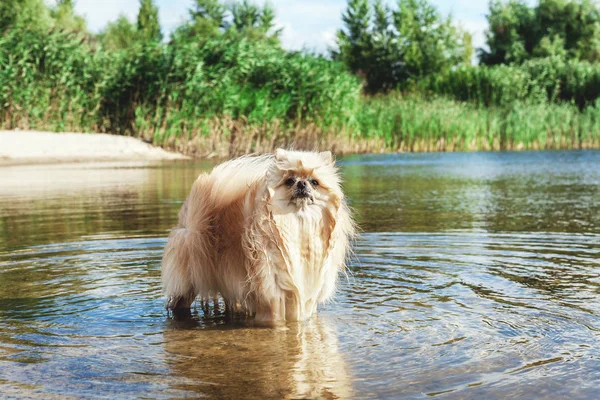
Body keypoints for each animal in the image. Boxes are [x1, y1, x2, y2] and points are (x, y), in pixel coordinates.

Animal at [162, 149, 354, 322]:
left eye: (314, 182)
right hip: (189, 278)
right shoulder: (273, 291)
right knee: (179, 301)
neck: (298, 224)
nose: (301, 184)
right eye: (289, 181)